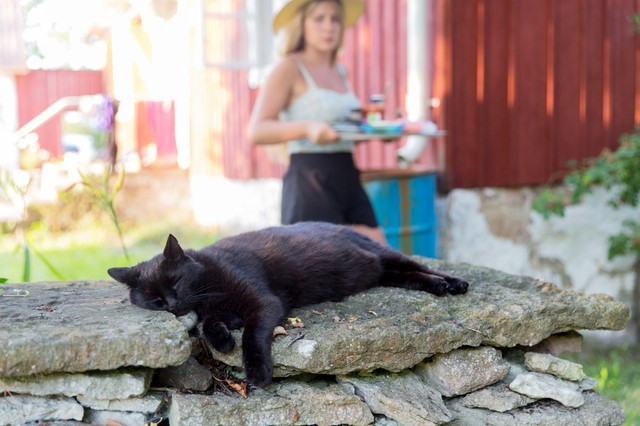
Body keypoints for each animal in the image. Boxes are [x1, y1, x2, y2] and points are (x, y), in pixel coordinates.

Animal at [107, 221, 468, 388]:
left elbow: (252, 333)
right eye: (155, 300)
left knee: (421, 266)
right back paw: (436, 287)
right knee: (409, 276)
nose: (172, 303)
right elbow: (210, 325)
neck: (209, 288)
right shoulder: (215, 311)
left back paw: (452, 284)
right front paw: (223, 340)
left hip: (385, 254)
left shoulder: (263, 303)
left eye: (176, 283)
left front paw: (256, 371)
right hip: (381, 272)